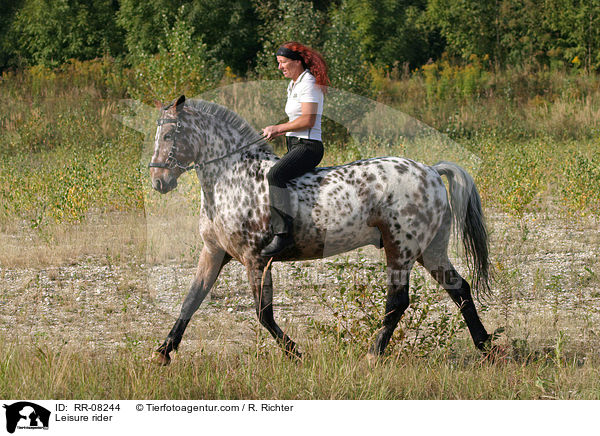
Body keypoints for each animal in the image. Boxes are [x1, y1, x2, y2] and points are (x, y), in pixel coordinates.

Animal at [148, 95, 490, 364]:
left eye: (170, 134)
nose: (158, 182)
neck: (231, 178)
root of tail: (431, 171)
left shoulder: (256, 259)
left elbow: (263, 313)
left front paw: (295, 353)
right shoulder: (214, 251)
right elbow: (191, 300)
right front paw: (162, 353)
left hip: (401, 248)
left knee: (398, 301)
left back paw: (372, 355)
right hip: (430, 250)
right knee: (459, 289)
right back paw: (487, 347)